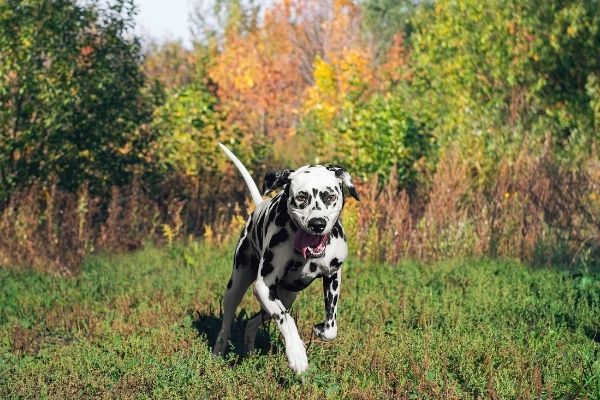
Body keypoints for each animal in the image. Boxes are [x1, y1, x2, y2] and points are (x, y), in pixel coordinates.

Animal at [213, 143, 358, 372]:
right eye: (301, 197)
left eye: (329, 196)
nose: (317, 224)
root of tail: (258, 206)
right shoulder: (263, 287)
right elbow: (287, 321)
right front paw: (296, 353)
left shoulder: (333, 277)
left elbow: (331, 326)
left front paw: (319, 330)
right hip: (237, 287)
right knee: (227, 320)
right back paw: (218, 350)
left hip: (285, 297)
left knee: (252, 322)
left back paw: (249, 350)